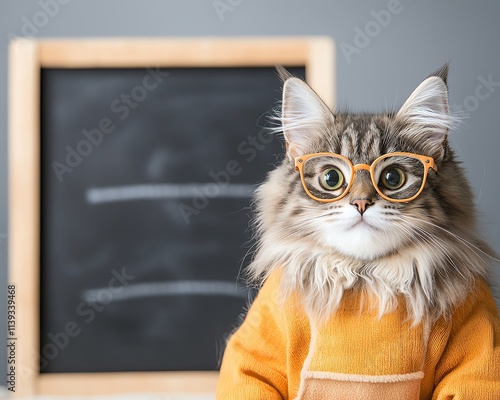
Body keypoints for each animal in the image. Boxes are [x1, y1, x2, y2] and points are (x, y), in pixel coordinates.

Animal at [218, 65, 500, 400]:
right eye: (331, 178)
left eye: (393, 178)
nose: (361, 203)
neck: (366, 277)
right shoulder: (263, 333)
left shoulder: (475, 333)